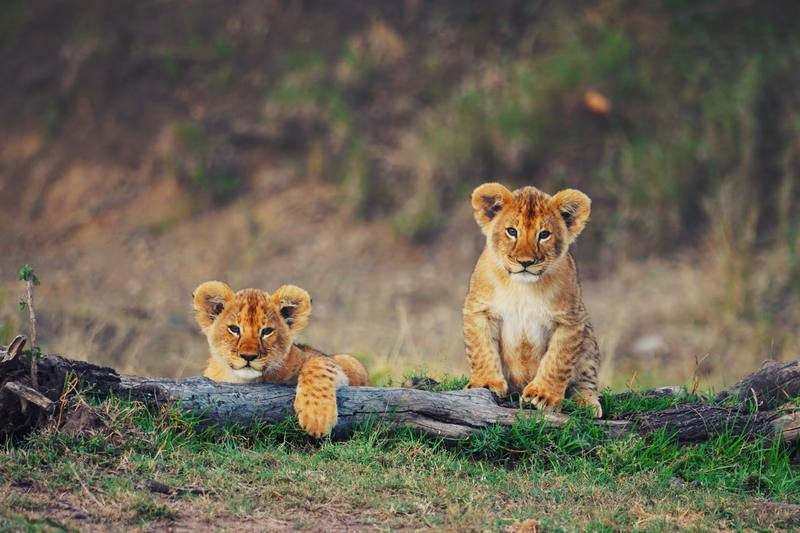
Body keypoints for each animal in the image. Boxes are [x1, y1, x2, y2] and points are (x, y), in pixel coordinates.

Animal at [192, 281, 368, 437]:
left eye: (266, 331)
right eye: (234, 329)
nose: (248, 356)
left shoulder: (338, 362)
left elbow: (320, 366)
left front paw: (317, 418)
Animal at [463, 182, 602, 417]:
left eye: (544, 234)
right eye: (512, 231)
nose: (525, 262)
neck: (523, 288)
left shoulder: (571, 319)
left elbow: (558, 360)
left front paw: (543, 396)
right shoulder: (479, 310)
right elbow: (482, 350)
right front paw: (486, 383)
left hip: (588, 337)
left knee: (586, 379)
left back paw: (587, 402)